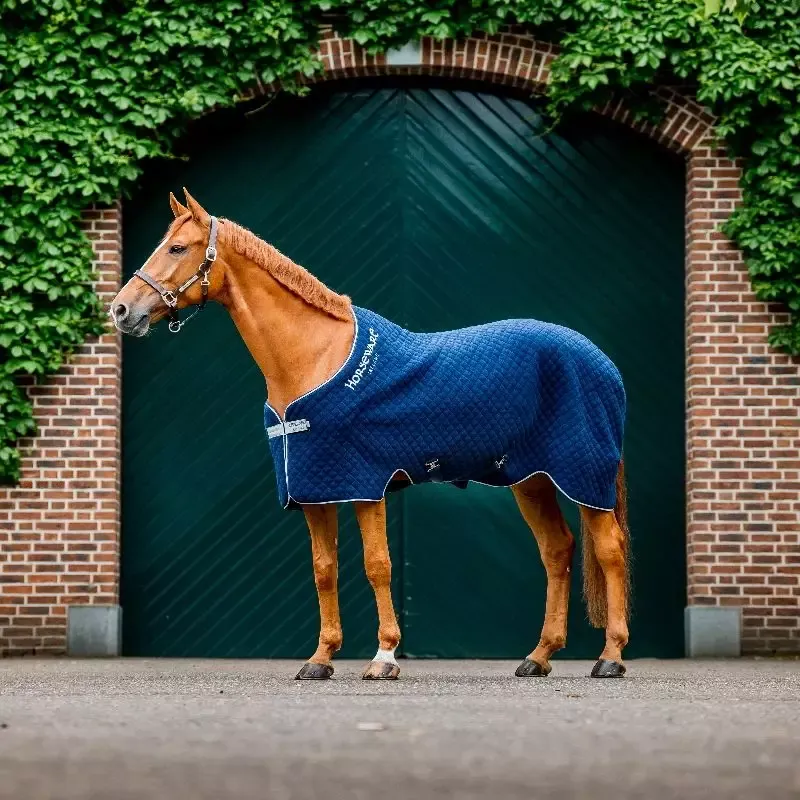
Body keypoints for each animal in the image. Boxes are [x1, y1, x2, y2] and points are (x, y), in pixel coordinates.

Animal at [110, 189, 631, 680]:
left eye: (177, 247)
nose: (120, 310)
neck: (314, 356)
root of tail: (602, 361)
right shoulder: (315, 489)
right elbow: (324, 570)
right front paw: (320, 659)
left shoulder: (364, 484)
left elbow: (377, 564)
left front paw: (384, 657)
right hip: (532, 480)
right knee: (557, 550)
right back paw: (538, 657)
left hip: (582, 475)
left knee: (609, 549)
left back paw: (610, 656)